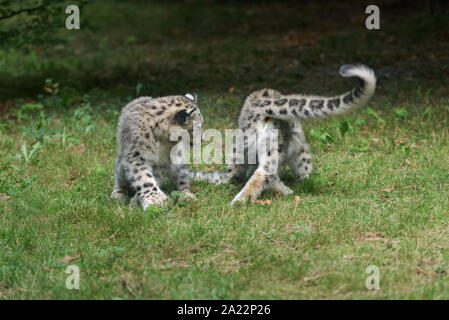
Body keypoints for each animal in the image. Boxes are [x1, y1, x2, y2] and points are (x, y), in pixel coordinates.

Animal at [191, 63, 376, 205]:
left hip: (249, 148)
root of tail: (266, 100)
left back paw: (240, 200)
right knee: (277, 170)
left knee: (253, 173)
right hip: (286, 146)